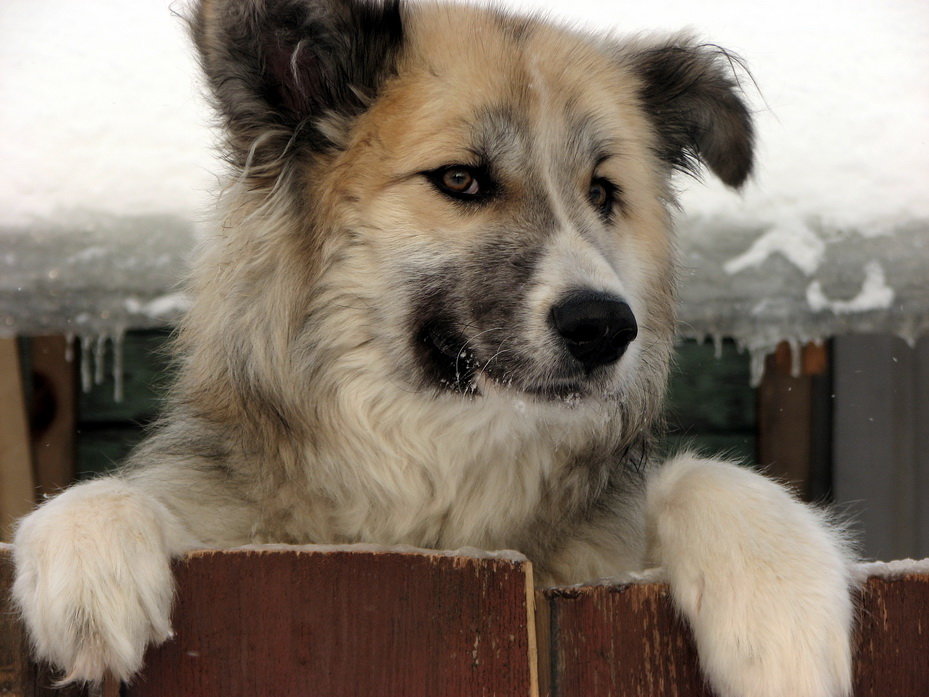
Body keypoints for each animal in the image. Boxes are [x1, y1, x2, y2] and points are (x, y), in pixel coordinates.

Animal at [14, 1, 856, 696]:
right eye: (460, 180)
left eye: (602, 193)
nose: (605, 326)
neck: (430, 494)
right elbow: (105, 496)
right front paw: (90, 565)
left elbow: (707, 474)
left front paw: (779, 619)